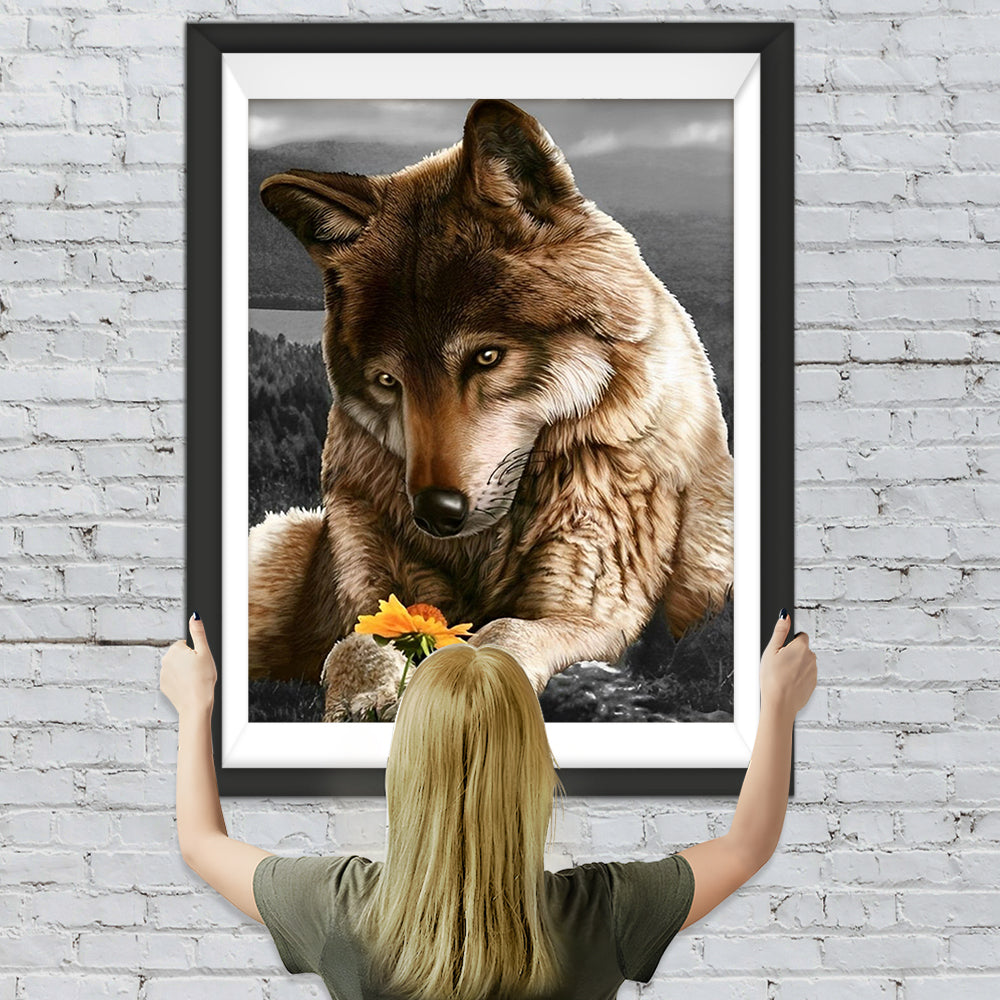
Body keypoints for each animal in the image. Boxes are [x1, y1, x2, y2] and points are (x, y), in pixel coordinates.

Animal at [250, 99, 733, 696]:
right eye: (388, 381)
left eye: (486, 357)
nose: (434, 513)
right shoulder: (372, 586)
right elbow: (359, 641)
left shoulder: (593, 612)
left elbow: (502, 635)